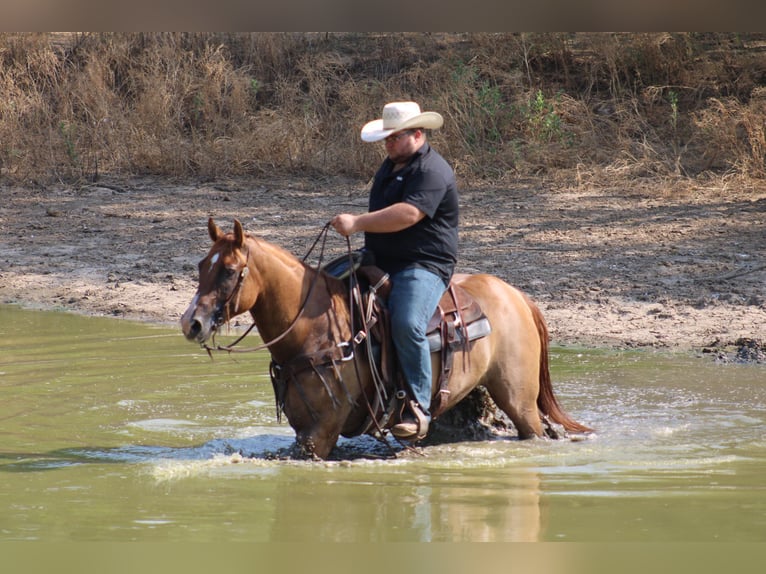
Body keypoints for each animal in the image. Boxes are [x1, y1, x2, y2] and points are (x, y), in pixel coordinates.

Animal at [180, 218, 592, 462]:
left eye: (229, 270)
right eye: (201, 266)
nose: (192, 323)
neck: (313, 330)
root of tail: (517, 295)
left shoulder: (320, 432)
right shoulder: (303, 431)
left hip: (519, 400)